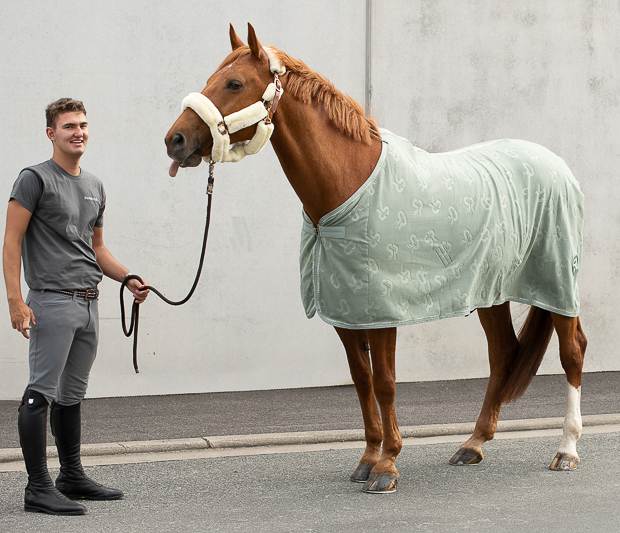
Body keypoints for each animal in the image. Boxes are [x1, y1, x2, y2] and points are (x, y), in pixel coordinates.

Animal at [163, 23, 588, 490]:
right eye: (210, 80)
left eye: (235, 84)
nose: (175, 140)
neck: (349, 185)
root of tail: (558, 166)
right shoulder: (346, 312)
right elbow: (362, 381)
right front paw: (368, 458)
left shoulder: (382, 310)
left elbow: (385, 383)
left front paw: (387, 466)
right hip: (491, 292)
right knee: (502, 355)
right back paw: (472, 444)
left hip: (556, 281)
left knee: (572, 351)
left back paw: (566, 450)